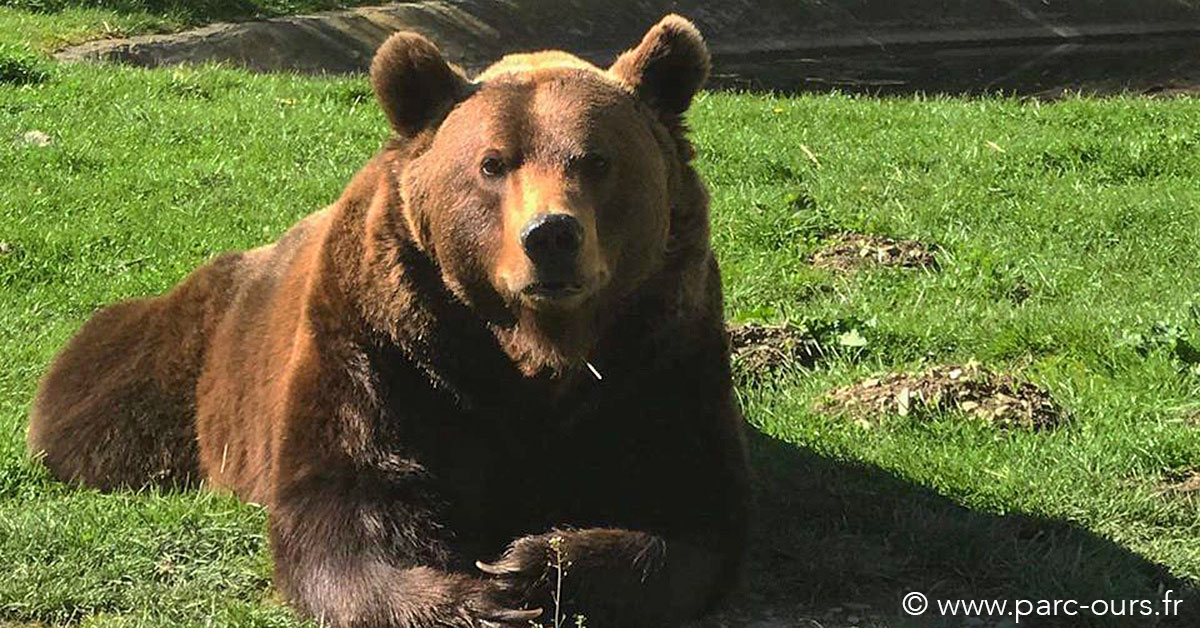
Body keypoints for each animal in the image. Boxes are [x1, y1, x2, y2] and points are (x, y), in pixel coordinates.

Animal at [28, 14, 748, 628]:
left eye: (597, 160)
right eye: (492, 163)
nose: (550, 236)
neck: (529, 350)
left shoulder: (657, 350)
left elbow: (685, 506)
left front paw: (530, 567)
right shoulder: (389, 344)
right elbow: (350, 502)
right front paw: (471, 596)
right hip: (187, 347)